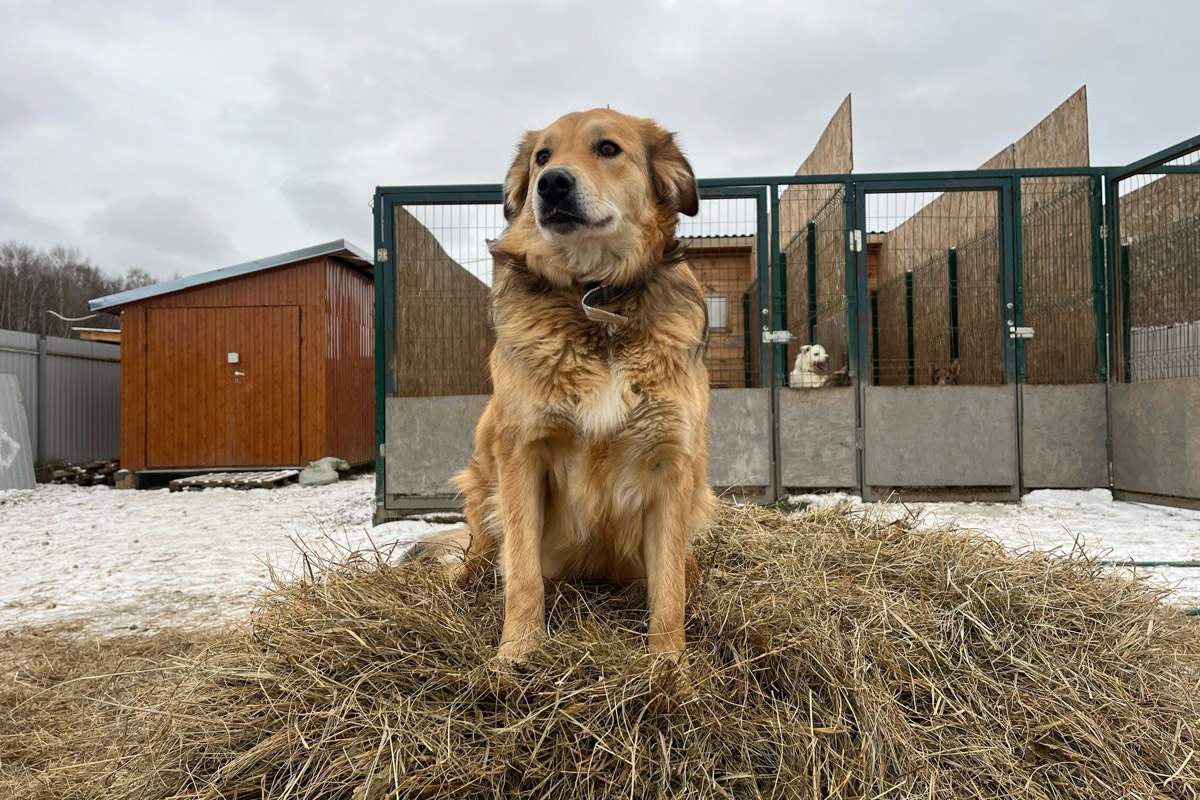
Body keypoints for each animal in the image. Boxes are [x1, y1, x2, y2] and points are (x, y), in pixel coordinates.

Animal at [420, 109, 705, 666]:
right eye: (542, 157)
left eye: (608, 148)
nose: (551, 184)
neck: (596, 301)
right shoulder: (523, 455)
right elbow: (523, 571)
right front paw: (517, 654)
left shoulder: (671, 464)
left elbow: (668, 592)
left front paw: (669, 669)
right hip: (481, 484)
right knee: (482, 559)